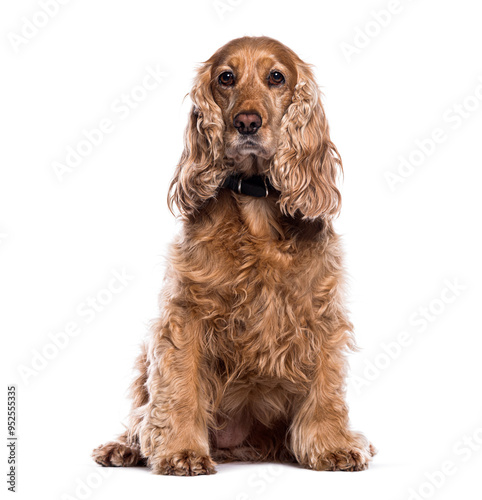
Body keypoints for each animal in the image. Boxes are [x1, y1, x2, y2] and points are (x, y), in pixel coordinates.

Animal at [92, 36, 374, 476]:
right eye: (226, 78)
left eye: (276, 77)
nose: (246, 122)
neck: (256, 200)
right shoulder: (186, 312)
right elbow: (178, 387)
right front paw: (181, 452)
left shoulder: (320, 312)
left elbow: (325, 386)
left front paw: (332, 445)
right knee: (142, 418)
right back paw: (124, 447)